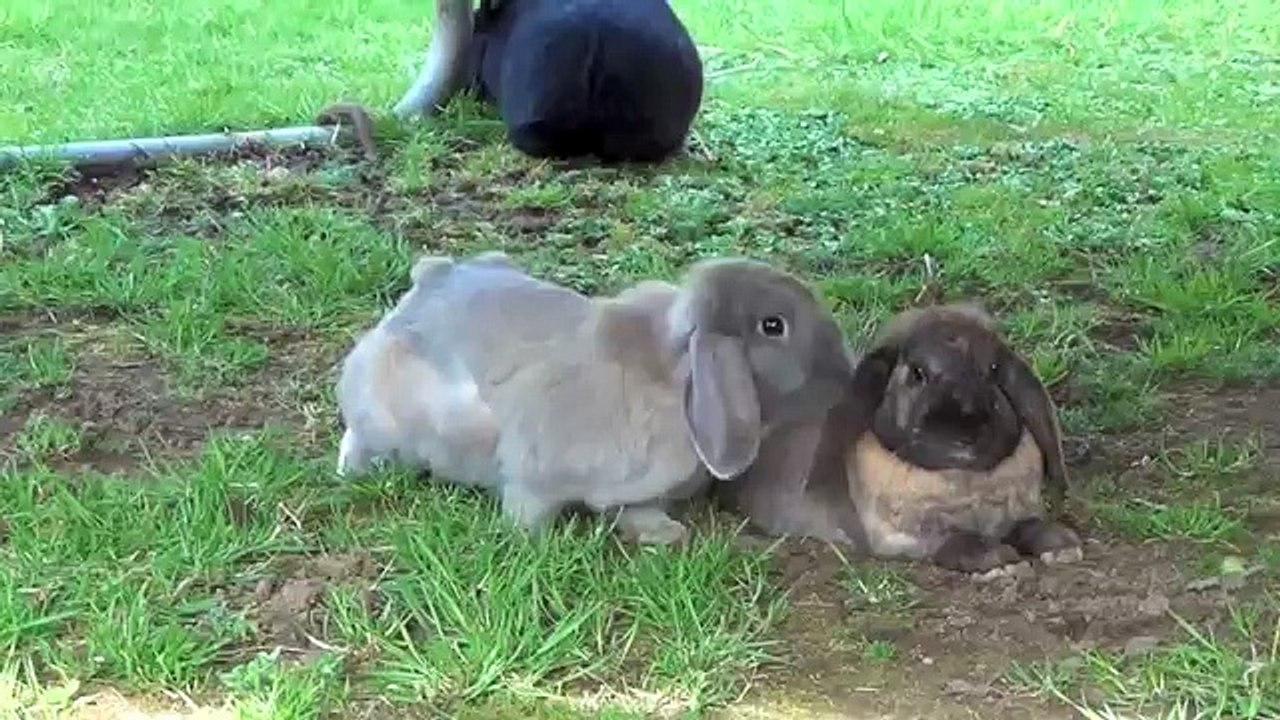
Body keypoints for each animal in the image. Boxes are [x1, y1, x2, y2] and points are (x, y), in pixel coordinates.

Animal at [335, 251, 854, 545]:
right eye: (774, 326)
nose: (844, 371)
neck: (676, 376)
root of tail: (426, 283)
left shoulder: (635, 491)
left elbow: (635, 509)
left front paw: (665, 534)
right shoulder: (533, 473)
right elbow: (528, 507)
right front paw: (529, 543)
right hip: (384, 422)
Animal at [722, 303, 1083, 574]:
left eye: (993, 370)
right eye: (917, 373)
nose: (965, 432)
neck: (964, 479)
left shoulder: (1018, 511)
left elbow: (1028, 525)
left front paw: (1062, 544)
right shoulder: (902, 536)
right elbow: (954, 540)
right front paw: (997, 561)